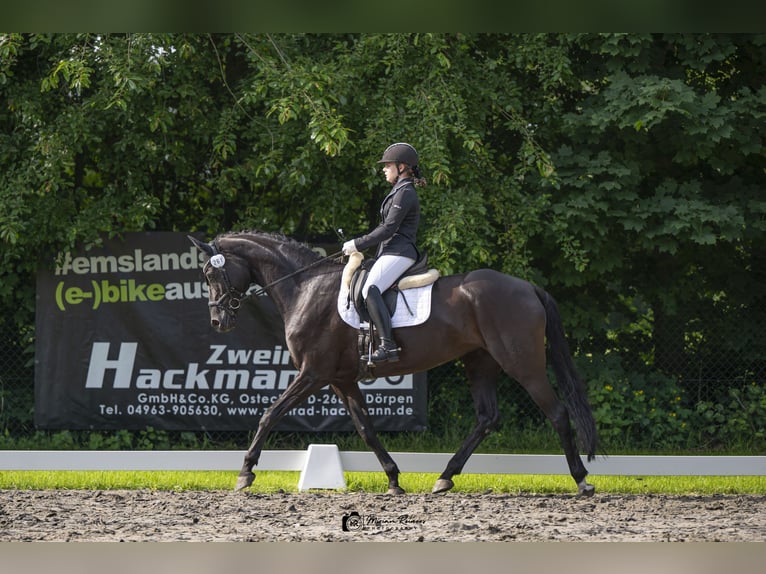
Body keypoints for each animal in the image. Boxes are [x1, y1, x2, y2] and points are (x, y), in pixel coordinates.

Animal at [190, 232, 600, 498]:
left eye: (211, 274)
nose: (217, 322)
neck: (305, 287)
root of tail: (528, 287)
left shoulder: (313, 373)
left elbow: (269, 414)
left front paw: (245, 474)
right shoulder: (341, 380)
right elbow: (367, 429)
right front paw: (393, 479)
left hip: (522, 363)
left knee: (558, 413)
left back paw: (581, 480)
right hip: (480, 362)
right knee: (487, 418)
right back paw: (444, 478)